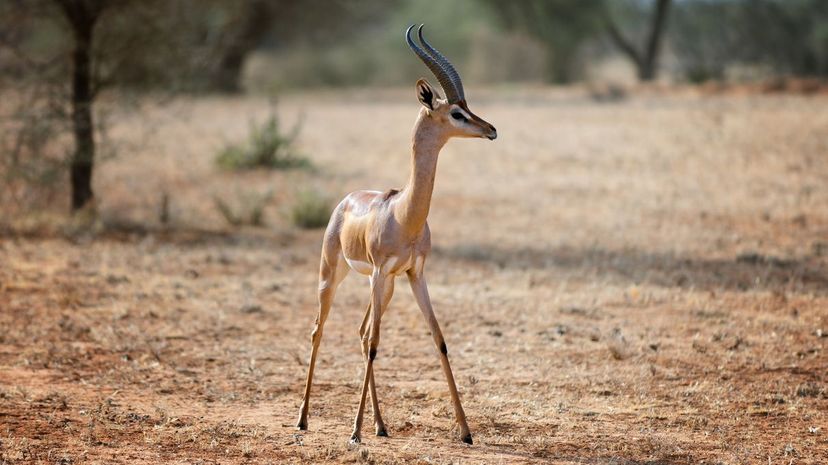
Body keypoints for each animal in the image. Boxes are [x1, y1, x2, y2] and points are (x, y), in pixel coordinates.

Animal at [294, 23, 494, 444]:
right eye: (456, 112)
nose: (491, 129)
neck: (404, 215)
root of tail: (346, 201)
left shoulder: (415, 274)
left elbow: (439, 339)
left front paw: (466, 431)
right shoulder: (380, 272)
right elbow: (374, 344)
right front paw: (354, 433)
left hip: (383, 287)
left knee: (361, 331)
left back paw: (381, 425)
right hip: (335, 276)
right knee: (321, 331)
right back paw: (303, 420)